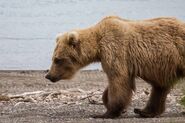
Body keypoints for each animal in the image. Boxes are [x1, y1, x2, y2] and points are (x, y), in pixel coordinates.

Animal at [45, 15, 185, 118]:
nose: (48, 75)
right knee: (159, 88)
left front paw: (107, 113)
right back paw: (144, 111)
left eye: (57, 60)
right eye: (53, 58)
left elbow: (118, 81)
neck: (97, 46)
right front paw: (109, 104)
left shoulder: (115, 51)